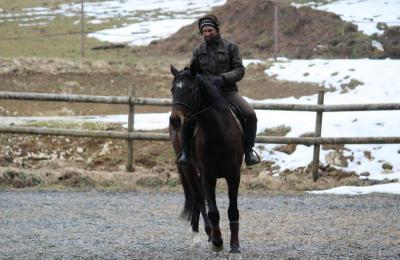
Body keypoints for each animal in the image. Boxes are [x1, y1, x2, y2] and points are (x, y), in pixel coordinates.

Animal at [167, 65, 242, 256]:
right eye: (172, 89)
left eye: (190, 89)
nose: (175, 120)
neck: (218, 133)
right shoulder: (208, 175)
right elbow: (213, 211)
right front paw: (217, 242)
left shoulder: (234, 175)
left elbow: (233, 211)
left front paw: (235, 247)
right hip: (189, 170)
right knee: (198, 198)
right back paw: (201, 236)